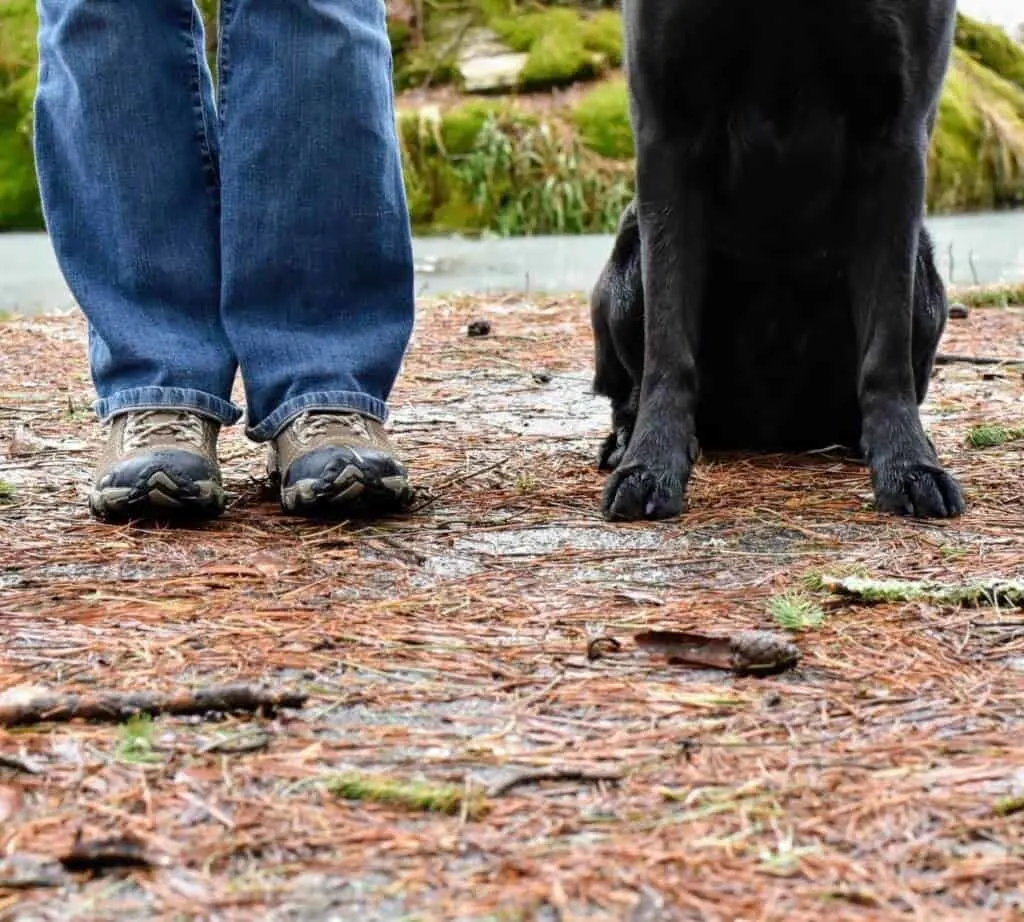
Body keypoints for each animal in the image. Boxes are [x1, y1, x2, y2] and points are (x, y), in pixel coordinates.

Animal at [593, 0, 966, 518]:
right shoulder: (667, 130)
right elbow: (667, 346)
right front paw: (650, 466)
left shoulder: (897, 139)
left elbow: (886, 350)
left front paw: (908, 466)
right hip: (625, 265)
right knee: (625, 388)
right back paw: (627, 440)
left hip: (926, 287)